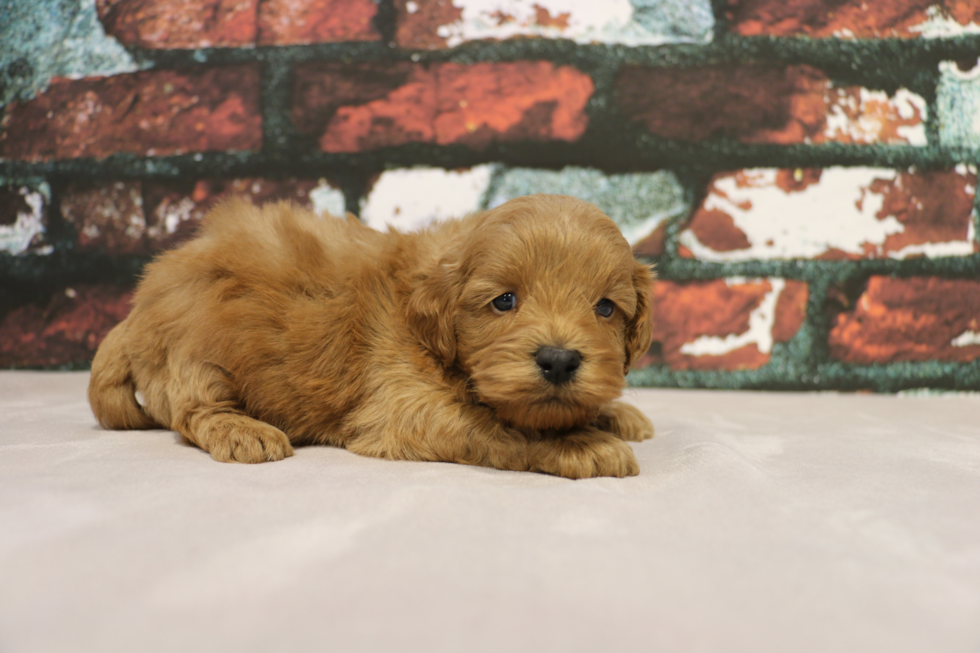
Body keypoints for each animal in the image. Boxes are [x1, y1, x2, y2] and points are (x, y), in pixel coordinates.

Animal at [88, 194, 656, 478]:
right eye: (505, 301)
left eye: (606, 308)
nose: (559, 360)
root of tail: (140, 302)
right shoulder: (407, 408)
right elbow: (505, 430)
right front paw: (583, 445)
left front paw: (613, 414)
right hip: (195, 350)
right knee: (194, 411)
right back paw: (243, 430)